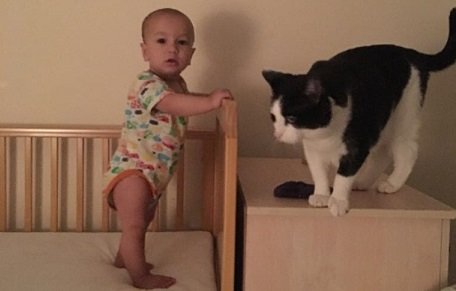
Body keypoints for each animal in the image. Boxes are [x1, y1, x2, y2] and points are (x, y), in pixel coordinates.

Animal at [264, 8, 456, 217]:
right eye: (274, 118)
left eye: (291, 118)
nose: (277, 134)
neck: (323, 134)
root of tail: (411, 53)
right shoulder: (313, 150)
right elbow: (319, 173)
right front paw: (322, 195)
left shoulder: (357, 145)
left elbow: (343, 175)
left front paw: (338, 201)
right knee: (383, 152)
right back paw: (363, 183)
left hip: (405, 113)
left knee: (408, 151)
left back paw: (391, 184)